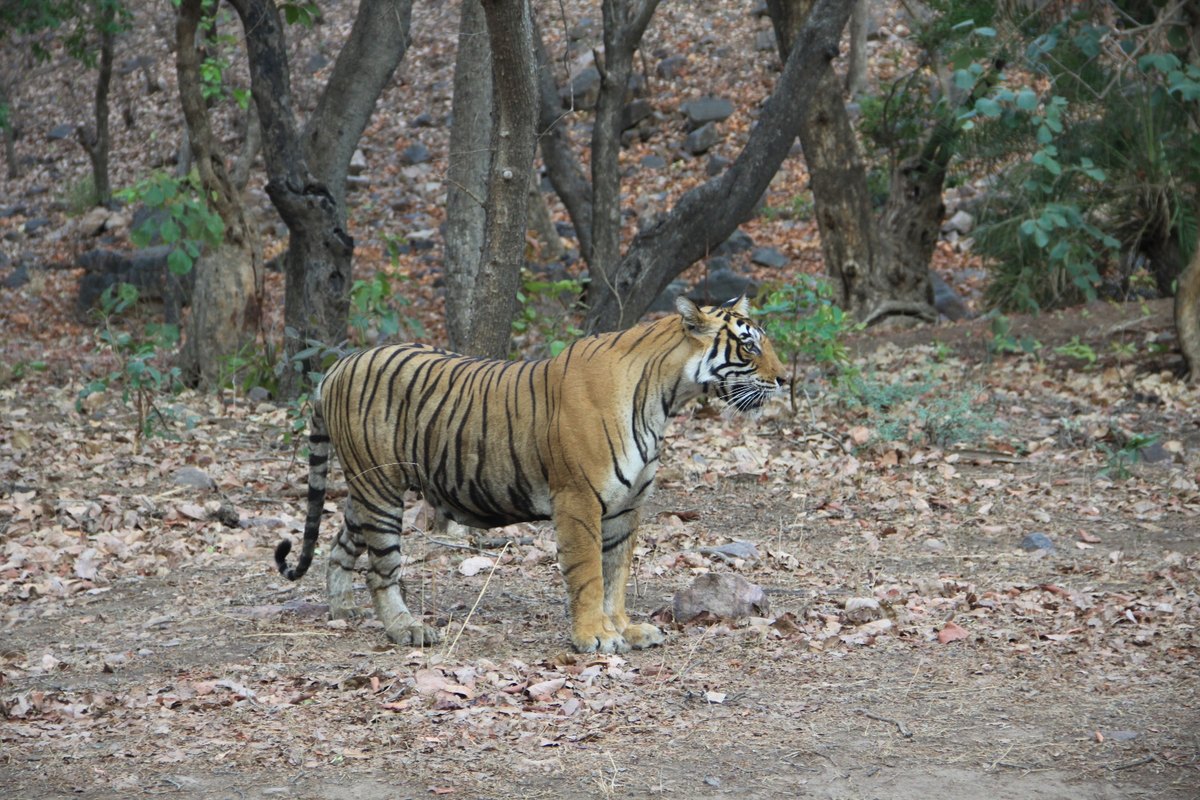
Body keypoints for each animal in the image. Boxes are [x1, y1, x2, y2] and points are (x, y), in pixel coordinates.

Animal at [274, 296, 787, 653]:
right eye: (748, 345)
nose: (786, 379)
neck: (665, 396)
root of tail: (338, 365)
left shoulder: (627, 507)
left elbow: (617, 575)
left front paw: (625, 629)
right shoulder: (578, 499)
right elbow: (589, 574)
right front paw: (594, 637)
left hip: (366, 488)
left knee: (340, 546)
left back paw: (342, 611)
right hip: (380, 489)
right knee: (381, 569)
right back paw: (406, 629)